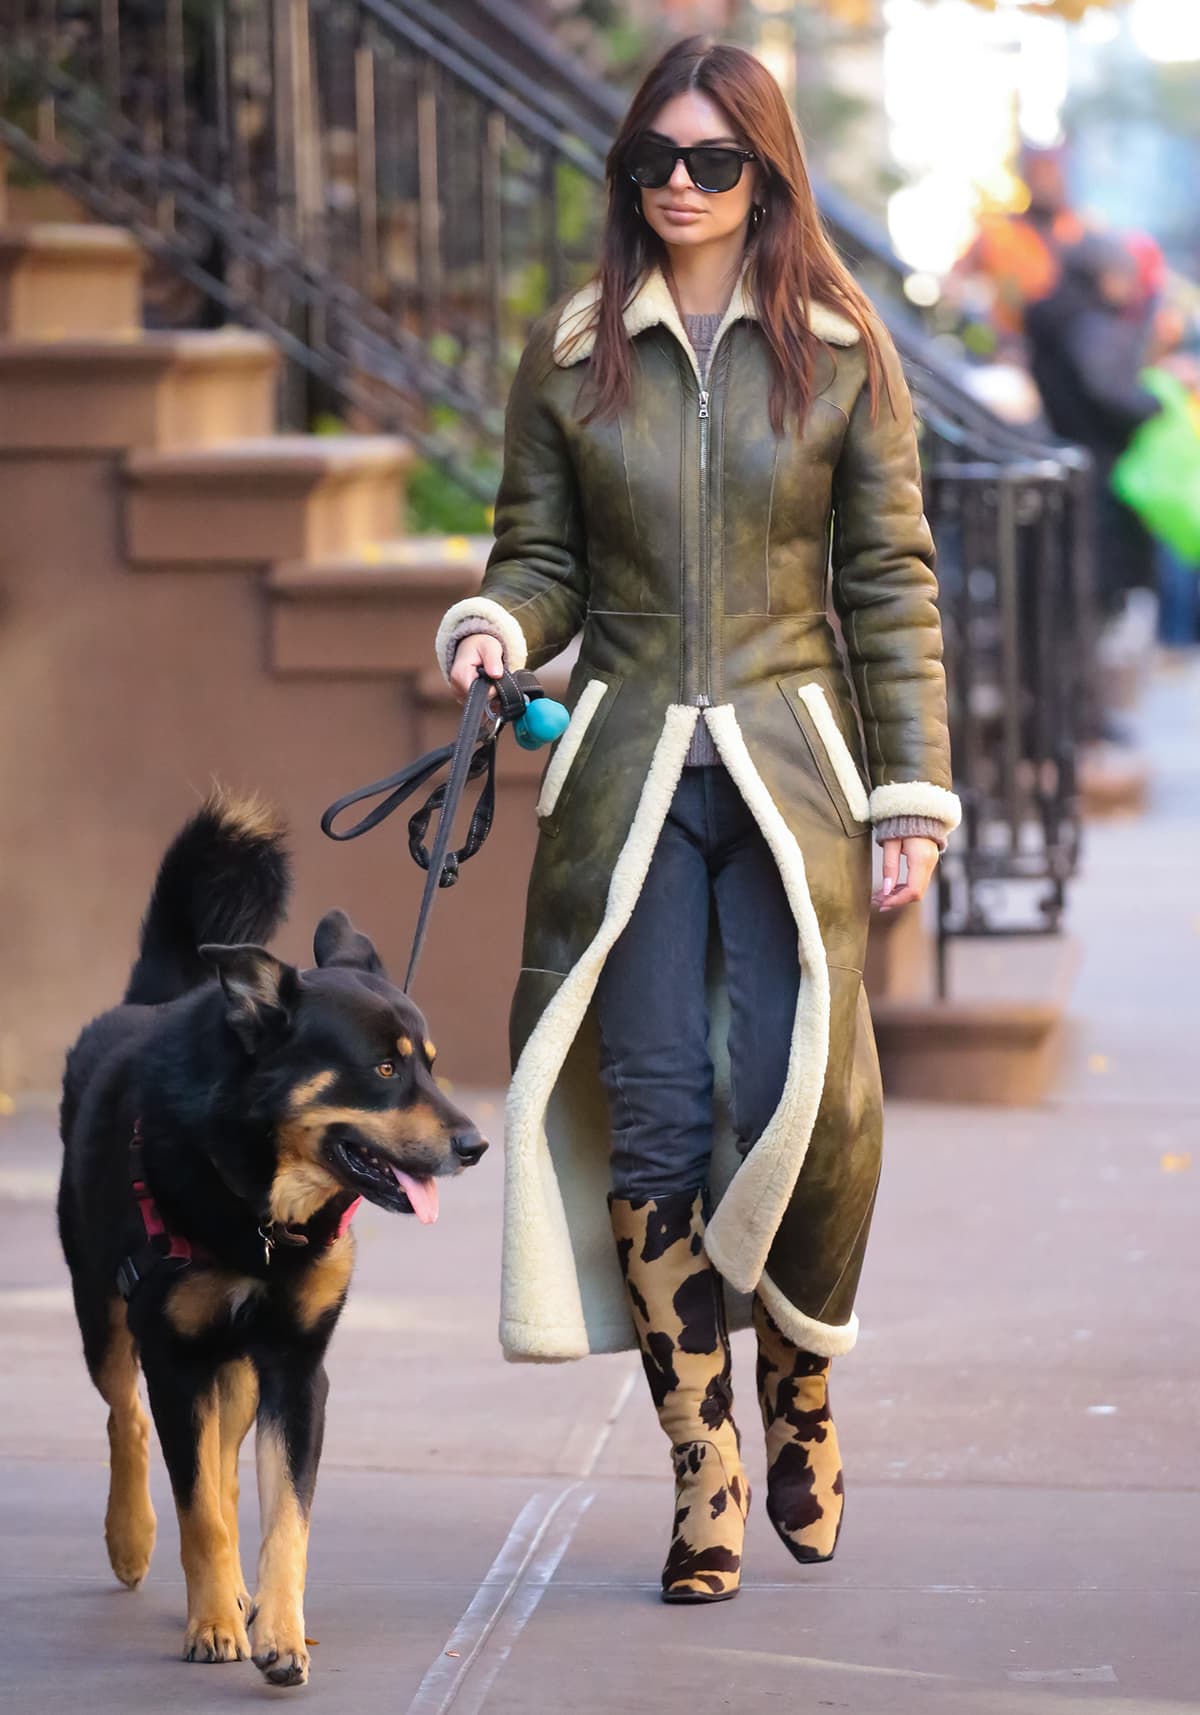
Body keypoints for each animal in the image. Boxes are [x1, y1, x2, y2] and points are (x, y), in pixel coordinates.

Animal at [58, 792, 486, 1687]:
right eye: (385, 1070)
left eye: (430, 1064)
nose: (475, 1145)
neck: (260, 1206)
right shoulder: (177, 1357)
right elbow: (198, 1511)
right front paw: (213, 1622)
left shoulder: (294, 1365)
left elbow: (283, 1516)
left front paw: (279, 1631)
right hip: (104, 1311)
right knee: (126, 1418)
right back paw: (132, 1536)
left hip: (242, 1366)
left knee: (221, 1463)